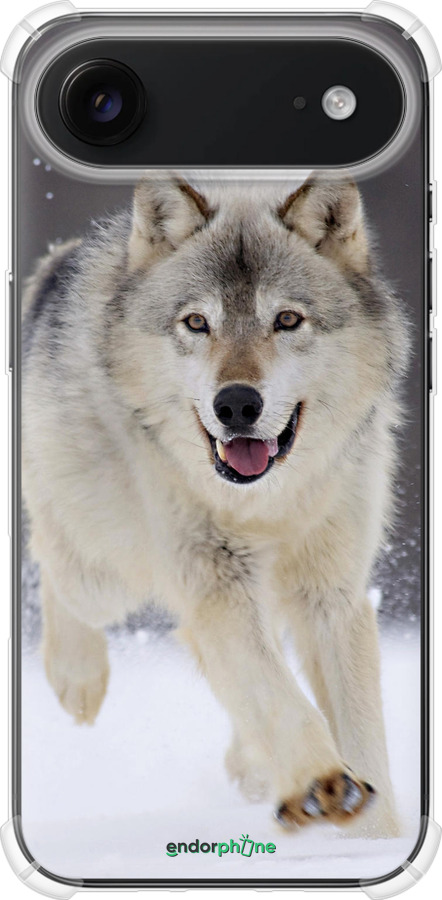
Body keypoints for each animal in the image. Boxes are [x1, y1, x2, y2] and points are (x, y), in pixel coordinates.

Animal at [22, 172, 408, 836]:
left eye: (287, 319)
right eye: (197, 322)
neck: (267, 504)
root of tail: (57, 265)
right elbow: (280, 698)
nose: (236, 404)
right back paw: (78, 679)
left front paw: (375, 838)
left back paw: (252, 765)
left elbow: (359, 734)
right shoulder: (216, 583)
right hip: (106, 574)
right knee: (50, 558)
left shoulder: (332, 595)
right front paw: (321, 783)